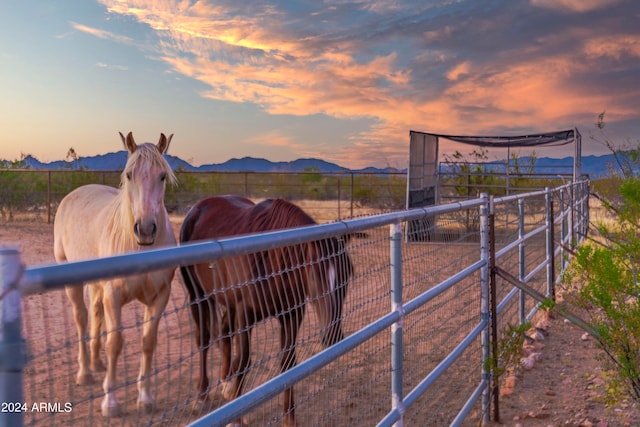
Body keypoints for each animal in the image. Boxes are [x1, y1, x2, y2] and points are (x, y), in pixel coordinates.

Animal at [52, 133, 176, 418]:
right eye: (129, 175)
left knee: (95, 312)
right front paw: (110, 402)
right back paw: (85, 372)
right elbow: (115, 343)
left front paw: (146, 397)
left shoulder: (160, 297)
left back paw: (97, 363)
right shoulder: (114, 295)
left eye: (162, 176)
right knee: (81, 318)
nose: (145, 229)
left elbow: (148, 342)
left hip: (97, 286)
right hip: (74, 282)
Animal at [178, 196, 352, 427]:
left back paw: (226, 384)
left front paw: (289, 419)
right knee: (204, 339)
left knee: (224, 330)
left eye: (347, 276)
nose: (333, 336)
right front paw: (237, 418)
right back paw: (202, 396)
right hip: (199, 295)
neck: (272, 259)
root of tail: (198, 208)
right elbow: (244, 361)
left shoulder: (291, 315)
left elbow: (288, 364)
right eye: (315, 276)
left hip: (228, 302)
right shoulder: (245, 314)